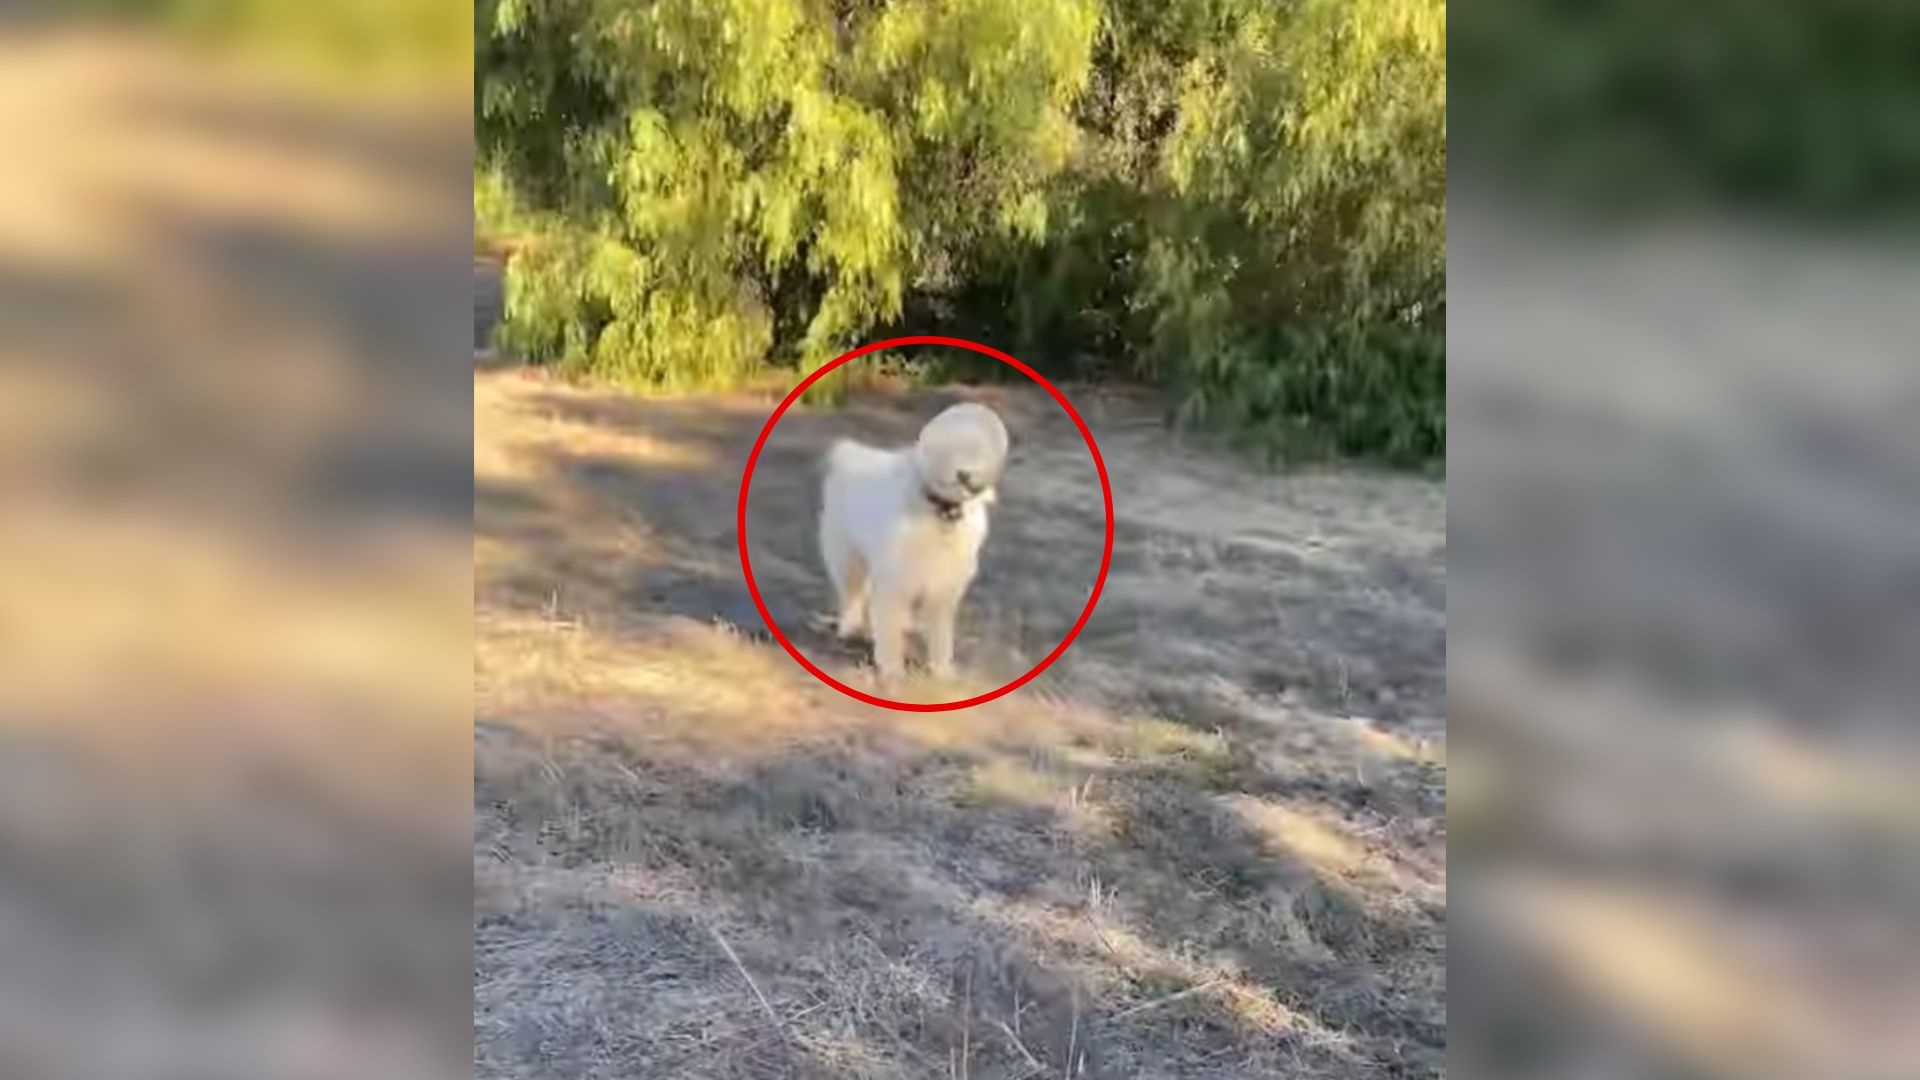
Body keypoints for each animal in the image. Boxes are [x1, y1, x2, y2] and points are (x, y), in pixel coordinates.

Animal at [817, 399, 1013, 684]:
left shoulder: (944, 584)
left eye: (981, 449)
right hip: (848, 555)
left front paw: (942, 672)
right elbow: (889, 627)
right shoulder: (894, 578)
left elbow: (940, 633)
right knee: (852, 592)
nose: (965, 475)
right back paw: (849, 628)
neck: (941, 511)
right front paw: (891, 671)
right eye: (951, 448)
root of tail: (851, 454)